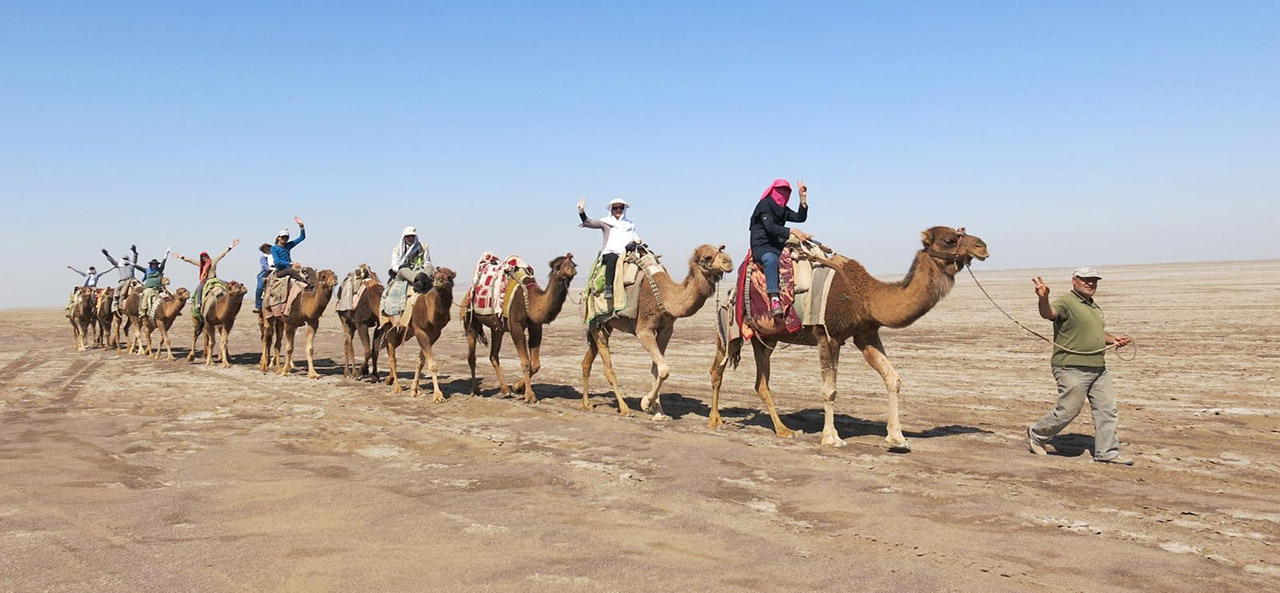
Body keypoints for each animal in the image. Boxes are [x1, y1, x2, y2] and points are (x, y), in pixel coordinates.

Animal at [376, 270, 458, 404]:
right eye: (435, 275)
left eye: (449, 276)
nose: (439, 281)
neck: (430, 309)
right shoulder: (420, 331)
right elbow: (432, 365)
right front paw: (438, 396)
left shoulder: (435, 333)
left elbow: (420, 362)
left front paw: (415, 390)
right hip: (390, 325)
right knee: (392, 358)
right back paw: (397, 388)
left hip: (403, 333)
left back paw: (389, 379)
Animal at [460, 253, 576, 407]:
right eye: (558, 266)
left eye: (573, 263)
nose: (571, 269)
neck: (531, 300)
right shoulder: (515, 326)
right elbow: (526, 362)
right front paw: (530, 396)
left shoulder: (535, 326)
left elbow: (536, 364)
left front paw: (516, 387)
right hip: (470, 320)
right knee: (471, 355)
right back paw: (475, 391)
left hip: (498, 328)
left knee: (493, 355)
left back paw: (506, 390)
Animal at [581, 244, 732, 417]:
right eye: (707, 257)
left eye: (721, 249)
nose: (728, 262)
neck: (665, 296)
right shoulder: (644, 330)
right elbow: (664, 369)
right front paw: (646, 403)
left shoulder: (666, 330)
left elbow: (656, 369)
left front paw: (658, 412)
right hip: (596, 322)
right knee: (608, 369)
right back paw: (624, 408)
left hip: (606, 325)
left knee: (587, 362)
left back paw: (586, 404)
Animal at [711, 226, 988, 450]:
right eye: (950, 240)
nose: (982, 246)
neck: (865, 295)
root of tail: (733, 289)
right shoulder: (828, 336)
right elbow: (830, 389)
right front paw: (832, 438)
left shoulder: (866, 333)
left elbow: (893, 379)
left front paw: (897, 438)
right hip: (731, 329)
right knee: (718, 370)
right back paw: (716, 422)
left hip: (767, 338)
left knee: (761, 382)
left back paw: (784, 430)